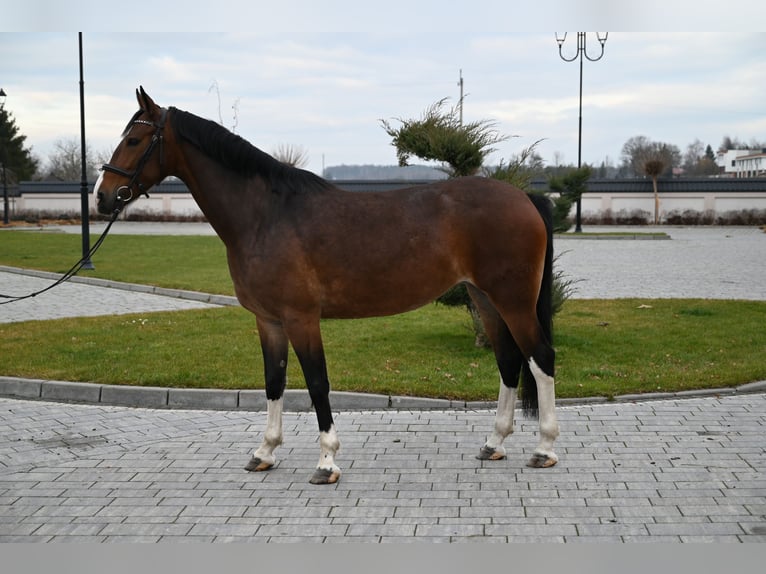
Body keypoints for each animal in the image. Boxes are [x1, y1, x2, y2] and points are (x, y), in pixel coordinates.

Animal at [97, 88, 564, 486]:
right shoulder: (269, 320)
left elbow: (317, 383)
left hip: (513, 300)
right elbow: (274, 381)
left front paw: (327, 462)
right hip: (485, 299)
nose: (103, 197)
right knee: (508, 361)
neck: (266, 215)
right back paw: (494, 443)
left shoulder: (301, 318)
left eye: (135, 139)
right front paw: (265, 452)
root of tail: (524, 198)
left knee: (540, 358)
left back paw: (544, 449)